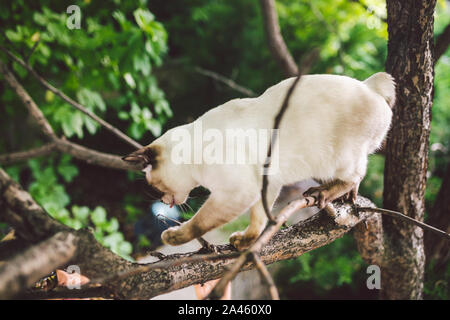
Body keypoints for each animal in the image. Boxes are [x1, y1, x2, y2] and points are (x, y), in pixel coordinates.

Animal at [122, 72, 394, 250]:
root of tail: (370, 85)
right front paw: (245, 242)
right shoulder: (266, 184)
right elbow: (259, 220)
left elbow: (199, 223)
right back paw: (346, 196)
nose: (161, 200)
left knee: (356, 174)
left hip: (338, 158)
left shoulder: (237, 192)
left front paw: (173, 236)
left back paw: (325, 192)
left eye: (154, 186)